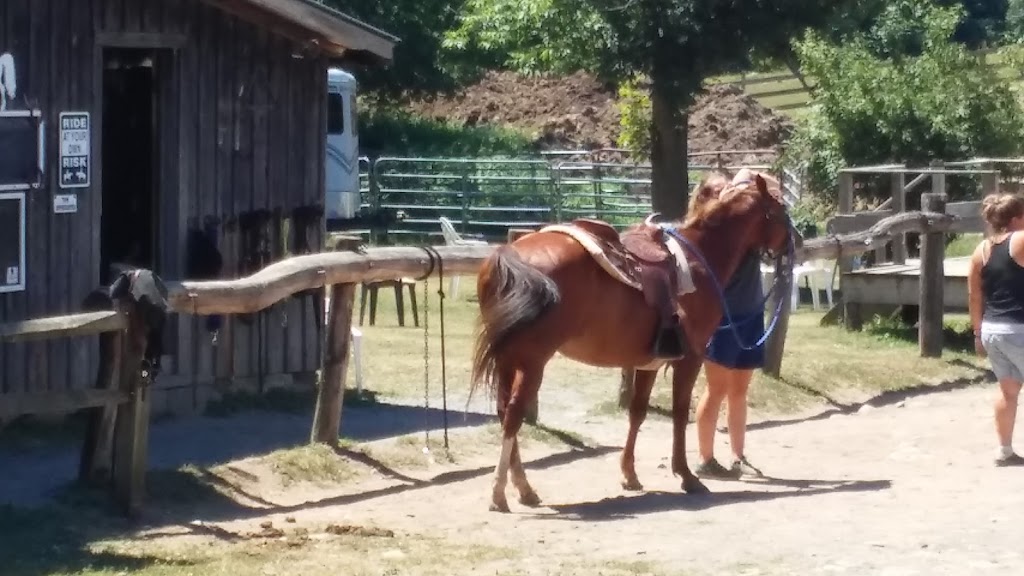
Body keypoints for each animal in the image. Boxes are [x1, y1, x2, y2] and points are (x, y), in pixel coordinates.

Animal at [468, 170, 794, 510]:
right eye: (782, 209)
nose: (794, 241)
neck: (699, 259)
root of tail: (510, 254)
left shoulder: (648, 362)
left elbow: (637, 412)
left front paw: (629, 475)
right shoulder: (690, 359)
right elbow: (680, 414)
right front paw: (686, 476)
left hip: (508, 359)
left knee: (504, 411)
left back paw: (522, 489)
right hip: (533, 361)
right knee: (514, 415)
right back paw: (501, 492)